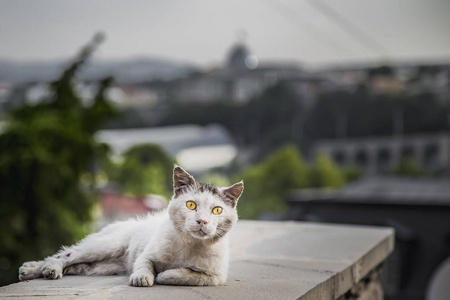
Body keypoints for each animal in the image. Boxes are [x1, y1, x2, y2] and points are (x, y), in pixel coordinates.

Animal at [18, 166, 243, 286]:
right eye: (191, 205)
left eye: (217, 210)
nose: (202, 221)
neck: (189, 245)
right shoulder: (145, 255)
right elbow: (145, 265)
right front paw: (143, 277)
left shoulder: (215, 277)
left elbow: (185, 275)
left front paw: (164, 274)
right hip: (106, 246)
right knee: (64, 255)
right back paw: (46, 269)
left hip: (101, 266)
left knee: (75, 264)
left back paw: (33, 270)